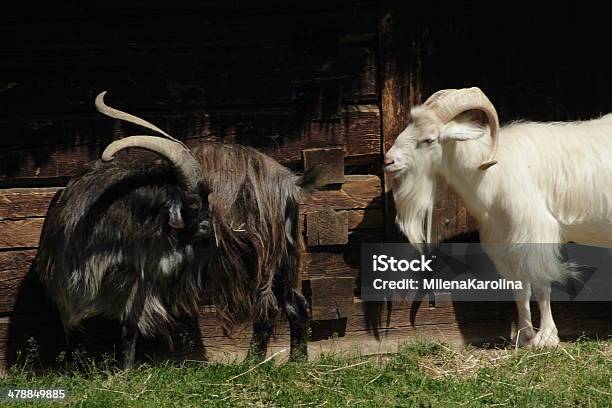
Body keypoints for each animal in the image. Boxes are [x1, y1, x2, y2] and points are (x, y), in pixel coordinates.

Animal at [384, 88, 612, 348]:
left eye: (429, 139)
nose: (388, 160)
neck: (489, 171)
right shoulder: (504, 242)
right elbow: (520, 290)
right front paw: (523, 337)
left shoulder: (535, 234)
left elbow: (541, 286)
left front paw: (546, 338)